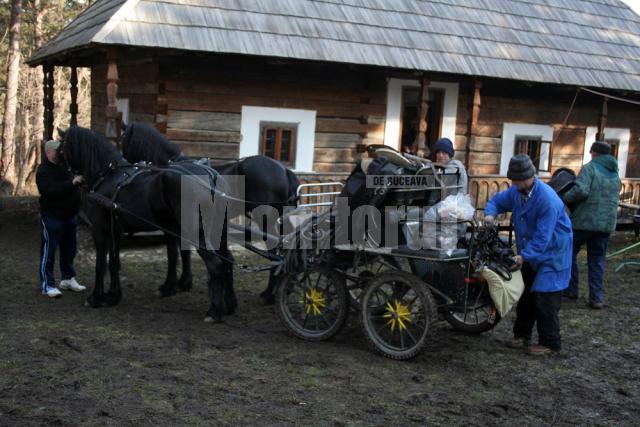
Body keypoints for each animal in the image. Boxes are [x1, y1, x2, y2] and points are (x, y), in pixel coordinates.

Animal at [59, 127, 235, 324]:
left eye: (61, 147)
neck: (108, 176)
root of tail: (211, 178)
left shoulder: (100, 231)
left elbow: (100, 265)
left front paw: (95, 297)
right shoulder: (116, 232)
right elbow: (114, 263)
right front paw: (113, 296)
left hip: (197, 233)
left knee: (216, 265)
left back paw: (214, 311)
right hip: (217, 231)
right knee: (227, 260)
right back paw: (229, 305)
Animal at [121, 122, 298, 306]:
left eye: (123, 140)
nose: (125, 170)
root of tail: (284, 170)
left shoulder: (171, 224)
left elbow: (173, 253)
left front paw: (170, 285)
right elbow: (185, 252)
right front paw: (184, 282)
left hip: (265, 219)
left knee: (274, 249)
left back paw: (268, 294)